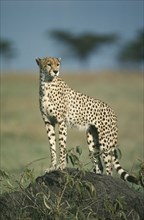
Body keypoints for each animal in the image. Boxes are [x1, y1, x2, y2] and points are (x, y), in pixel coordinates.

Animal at [35, 56, 138, 184]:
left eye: (58, 64)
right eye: (49, 64)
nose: (55, 71)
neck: (46, 83)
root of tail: (113, 112)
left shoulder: (61, 122)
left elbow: (62, 145)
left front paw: (61, 166)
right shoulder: (48, 122)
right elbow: (52, 146)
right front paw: (52, 167)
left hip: (105, 141)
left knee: (109, 165)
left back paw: (107, 178)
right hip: (92, 139)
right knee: (99, 164)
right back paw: (97, 175)